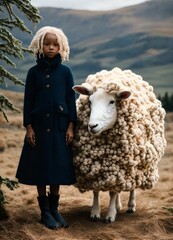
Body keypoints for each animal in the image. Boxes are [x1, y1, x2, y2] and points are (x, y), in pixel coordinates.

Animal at [71, 66, 166, 222]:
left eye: (112, 101)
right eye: (90, 101)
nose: (92, 126)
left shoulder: (121, 166)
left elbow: (112, 193)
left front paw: (110, 215)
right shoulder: (96, 169)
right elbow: (96, 191)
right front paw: (95, 213)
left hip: (135, 166)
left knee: (131, 187)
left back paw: (130, 206)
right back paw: (118, 206)